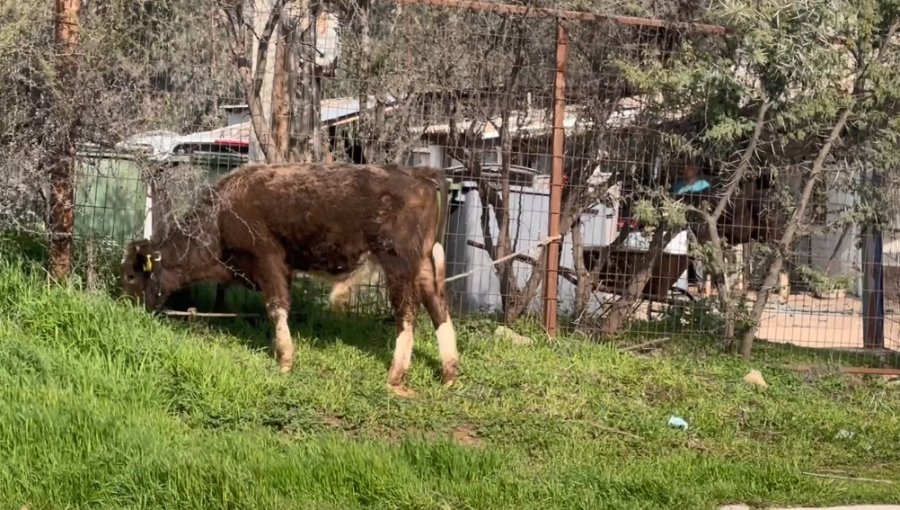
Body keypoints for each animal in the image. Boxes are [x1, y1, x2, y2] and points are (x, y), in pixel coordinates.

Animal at [119, 161, 458, 388]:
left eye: (131, 276)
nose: (125, 309)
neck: (221, 213)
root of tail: (419, 175)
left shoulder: (268, 260)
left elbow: (276, 307)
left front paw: (284, 361)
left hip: (398, 264)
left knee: (407, 313)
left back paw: (395, 376)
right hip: (424, 266)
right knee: (438, 309)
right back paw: (449, 373)